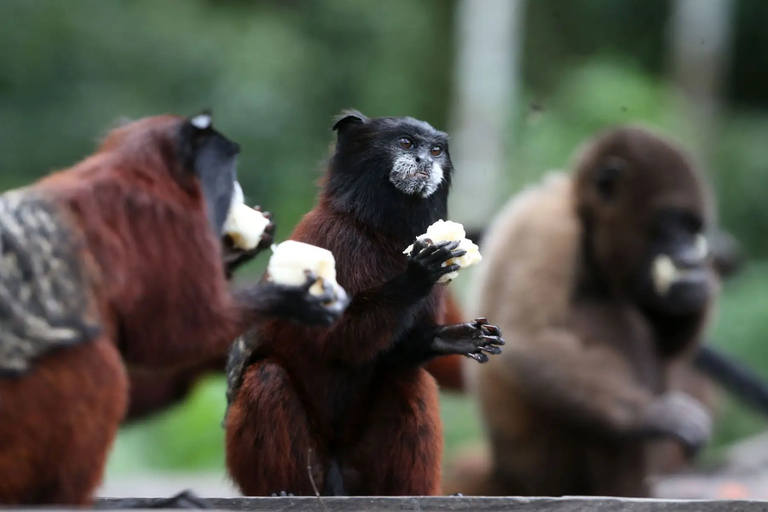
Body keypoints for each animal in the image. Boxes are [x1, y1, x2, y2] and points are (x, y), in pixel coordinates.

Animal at [0, 112, 345, 506]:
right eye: (227, 170)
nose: (235, 191)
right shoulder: (161, 218)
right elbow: (172, 338)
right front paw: (287, 299)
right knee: (100, 367)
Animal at [224, 110, 504, 497]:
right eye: (406, 143)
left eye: (435, 151)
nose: (424, 162)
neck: (377, 232)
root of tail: (337, 475)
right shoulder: (330, 241)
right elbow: (335, 341)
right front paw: (415, 276)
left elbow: (394, 354)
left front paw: (454, 337)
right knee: (266, 377)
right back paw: (284, 491)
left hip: (363, 469)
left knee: (408, 378)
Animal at [444, 125, 719, 498]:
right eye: (671, 224)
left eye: (692, 230)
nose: (689, 254)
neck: (582, 218)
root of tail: (505, 471)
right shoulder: (550, 231)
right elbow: (531, 339)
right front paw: (653, 415)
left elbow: (668, 344)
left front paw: (691, 287)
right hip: (546, 467)